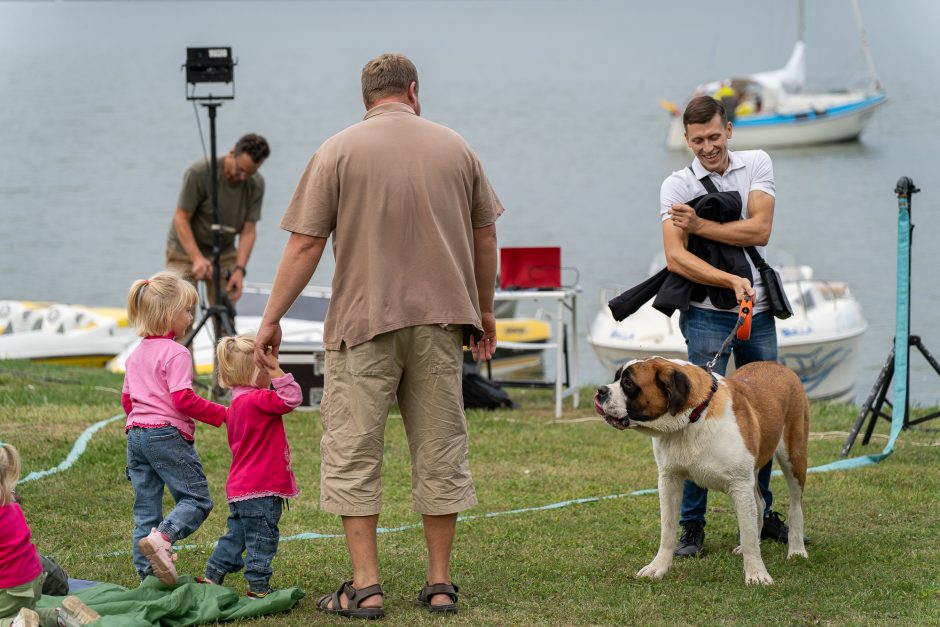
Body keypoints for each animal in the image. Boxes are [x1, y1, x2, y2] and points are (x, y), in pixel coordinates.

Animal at [596, 358, 808, 588]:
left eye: (628, 383)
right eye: (617, 377)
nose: (601, 390)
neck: (695, 416)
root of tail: (777, 365)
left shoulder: (740, 484)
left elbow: (748, 534)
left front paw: (757, 574)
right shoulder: (669, 480)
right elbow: (667, 529)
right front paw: (658, 567)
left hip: (794, 457)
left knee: (795, 505)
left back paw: (797, 549)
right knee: (760, 505)